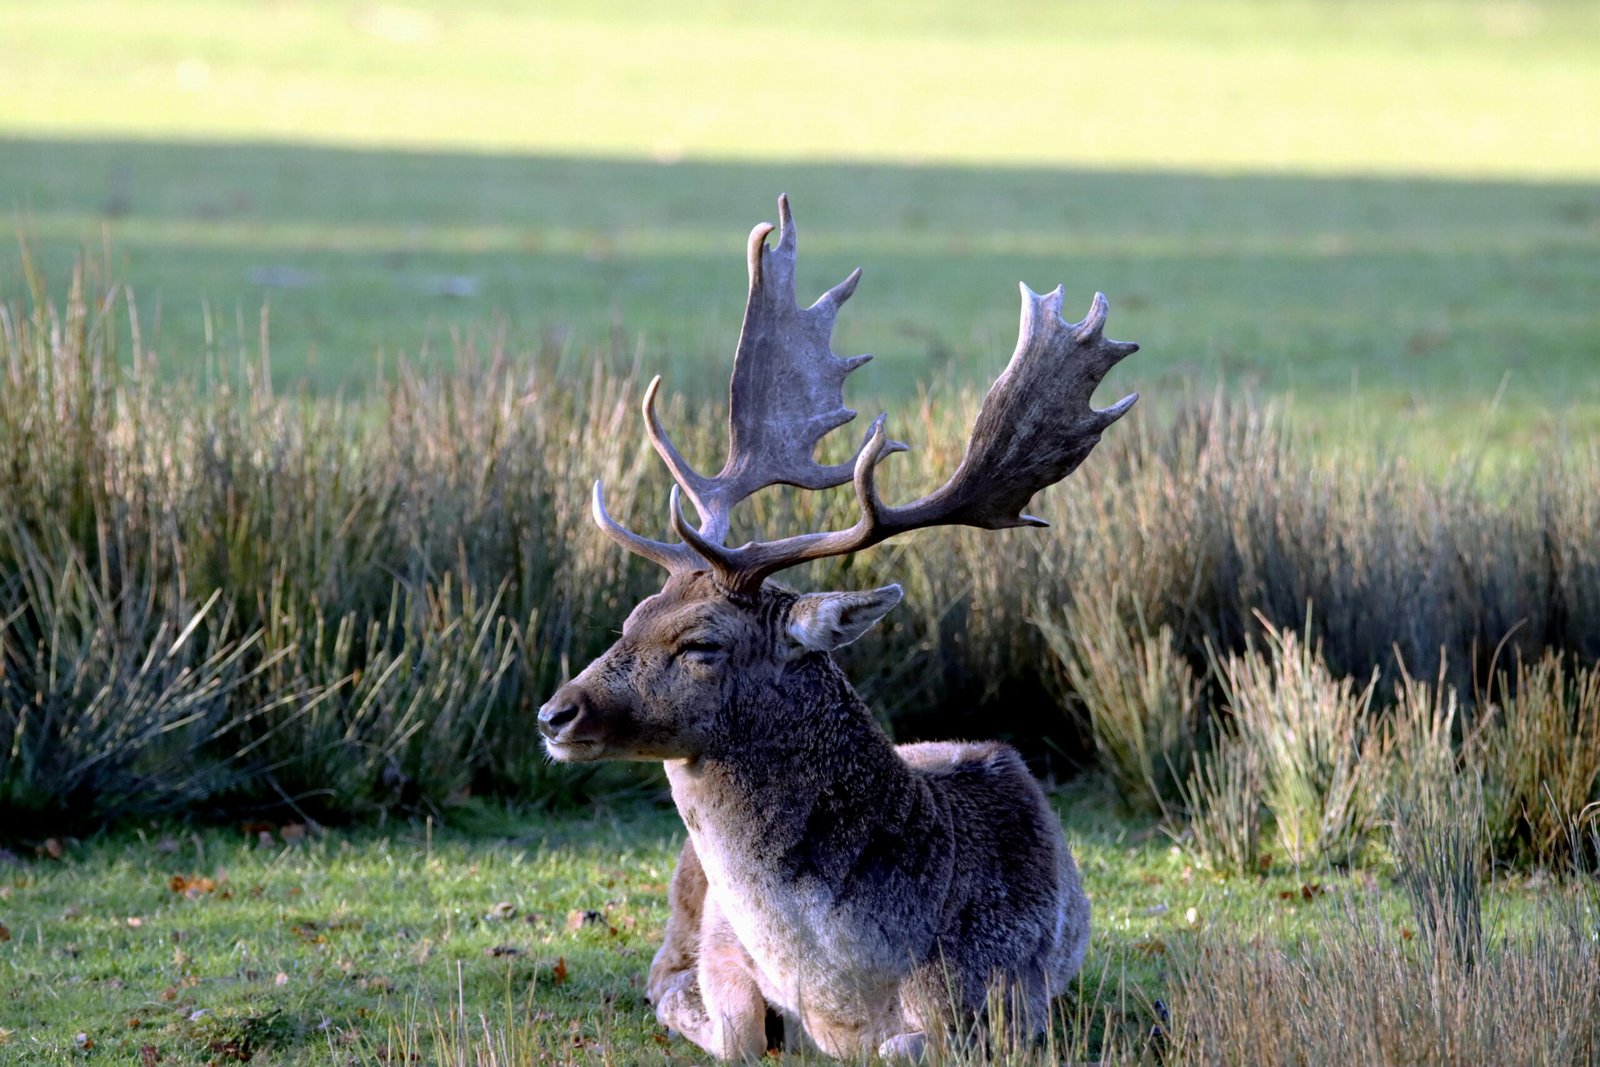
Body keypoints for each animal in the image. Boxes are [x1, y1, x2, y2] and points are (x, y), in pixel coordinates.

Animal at [538, 195, 1139, 1062]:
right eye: (632, 615)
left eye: (702, 644)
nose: (556, 712)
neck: (845, 989)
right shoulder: (724, 955)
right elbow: (734, 1027)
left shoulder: (1013, 996)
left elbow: (907, 1044)